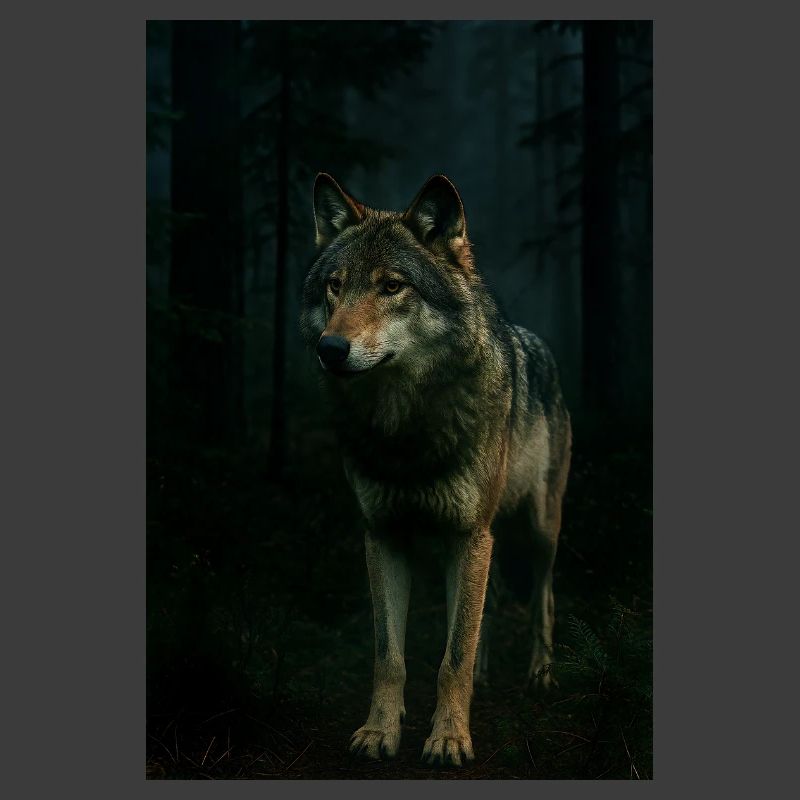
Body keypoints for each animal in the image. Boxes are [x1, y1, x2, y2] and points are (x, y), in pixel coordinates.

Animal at [299, 173, 571, 767]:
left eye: (392, 286)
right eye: (335, 286)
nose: (329, 348)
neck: (406, 430)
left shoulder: (469, 535)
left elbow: (453, 656)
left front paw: (448, 738)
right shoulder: (383, 535)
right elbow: (391, 655)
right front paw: (379, 731)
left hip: (538, 531)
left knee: (542, 597)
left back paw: (542, 674)